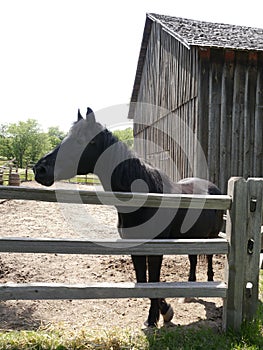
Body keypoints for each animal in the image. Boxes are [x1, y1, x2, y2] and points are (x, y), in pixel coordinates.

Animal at [32, 108, 223, 326]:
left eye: (80, 140)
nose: (40, 169)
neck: (145, 198)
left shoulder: (156, 249)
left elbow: (153, 280)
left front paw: (157, 316)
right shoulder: (135, 247)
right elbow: (143, 281)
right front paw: (162, 311)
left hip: (211, 237)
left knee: (208, 258)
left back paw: (209, 283)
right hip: (192, 237)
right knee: (192, 260)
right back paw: (189, 293)